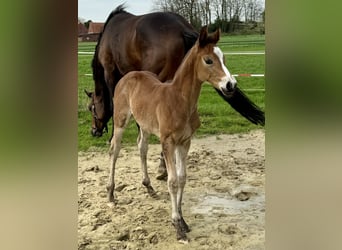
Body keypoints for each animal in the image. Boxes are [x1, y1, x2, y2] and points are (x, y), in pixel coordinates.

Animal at [108, 26, 236, 242]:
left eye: (224, 58)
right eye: (208, 60)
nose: (230, 85)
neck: (179, 101)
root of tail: (129, 75)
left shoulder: (184, 142)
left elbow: (182, 177)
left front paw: (183, 220)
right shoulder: (167, 142)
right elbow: (173, 180)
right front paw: (177, 225)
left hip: (144, 124)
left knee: (141, 147)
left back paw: (148, 187)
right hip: (120, 120)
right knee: (114, 150)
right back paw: (110, 194)